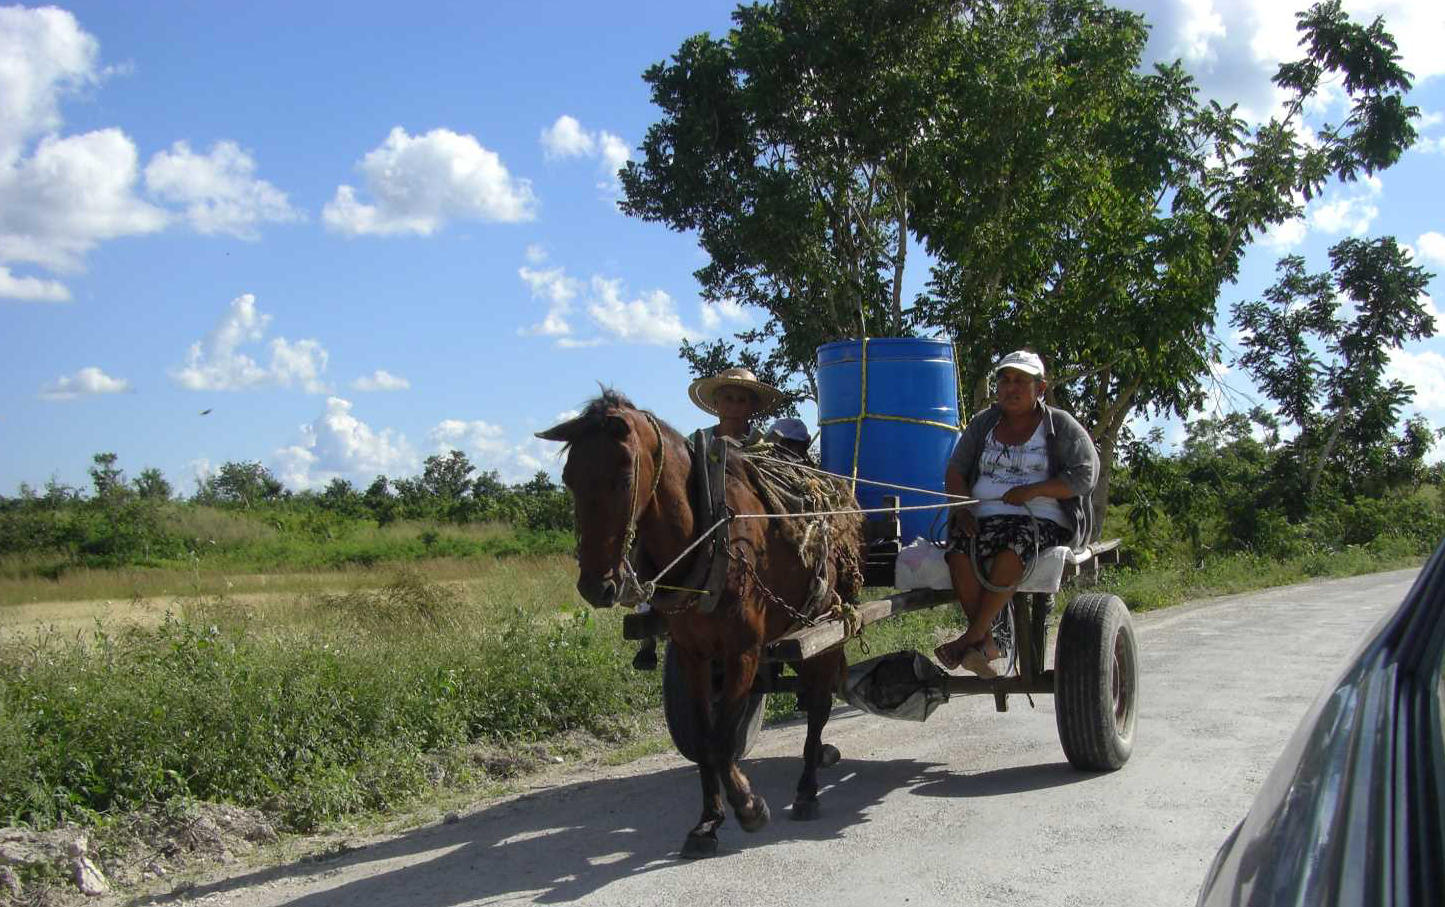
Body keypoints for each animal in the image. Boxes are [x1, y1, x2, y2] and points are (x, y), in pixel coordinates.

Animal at [540, 389, 855, 855]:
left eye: (624, 479)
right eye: (568, 478)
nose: (596, 586)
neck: (708, 534)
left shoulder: (742, 651)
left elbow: (722, 741)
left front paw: (748, 806)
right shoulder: (693, 654)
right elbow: (707, 740)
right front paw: (708, 821)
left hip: (823, 626)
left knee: (817, 706)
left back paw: (807, 789)